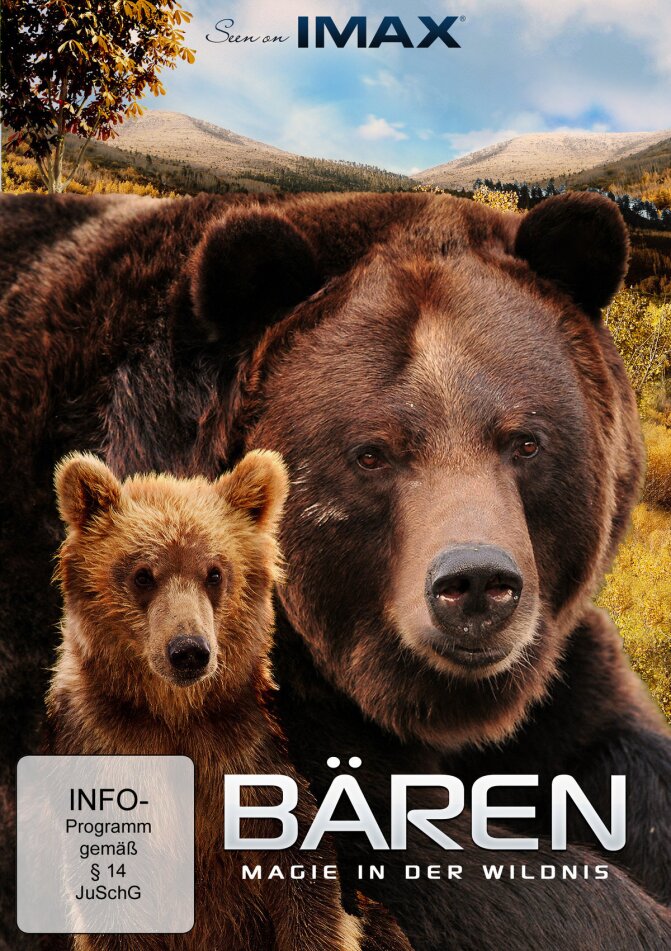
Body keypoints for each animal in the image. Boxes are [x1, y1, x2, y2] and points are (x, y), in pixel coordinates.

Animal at [47, 449, 411, 951]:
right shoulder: (105, 746)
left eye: (215, 572)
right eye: (143, 575)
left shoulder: (254, 754)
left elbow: (310, 896)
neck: (175, 715)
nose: (188, 650)